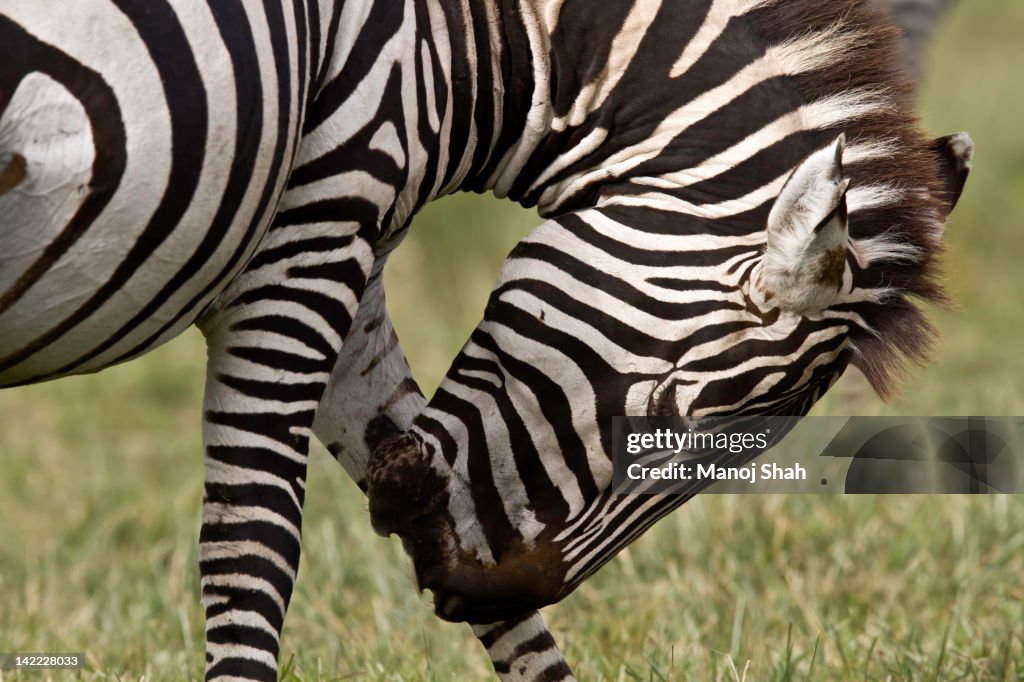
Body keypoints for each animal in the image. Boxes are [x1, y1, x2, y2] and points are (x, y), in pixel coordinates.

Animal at [0, 1, 966, 679]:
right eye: (673, 410)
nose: (470, 591)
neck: (472, 32)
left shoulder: (336, 251)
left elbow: (430, 488)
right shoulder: (310, 225)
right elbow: (255, 544)